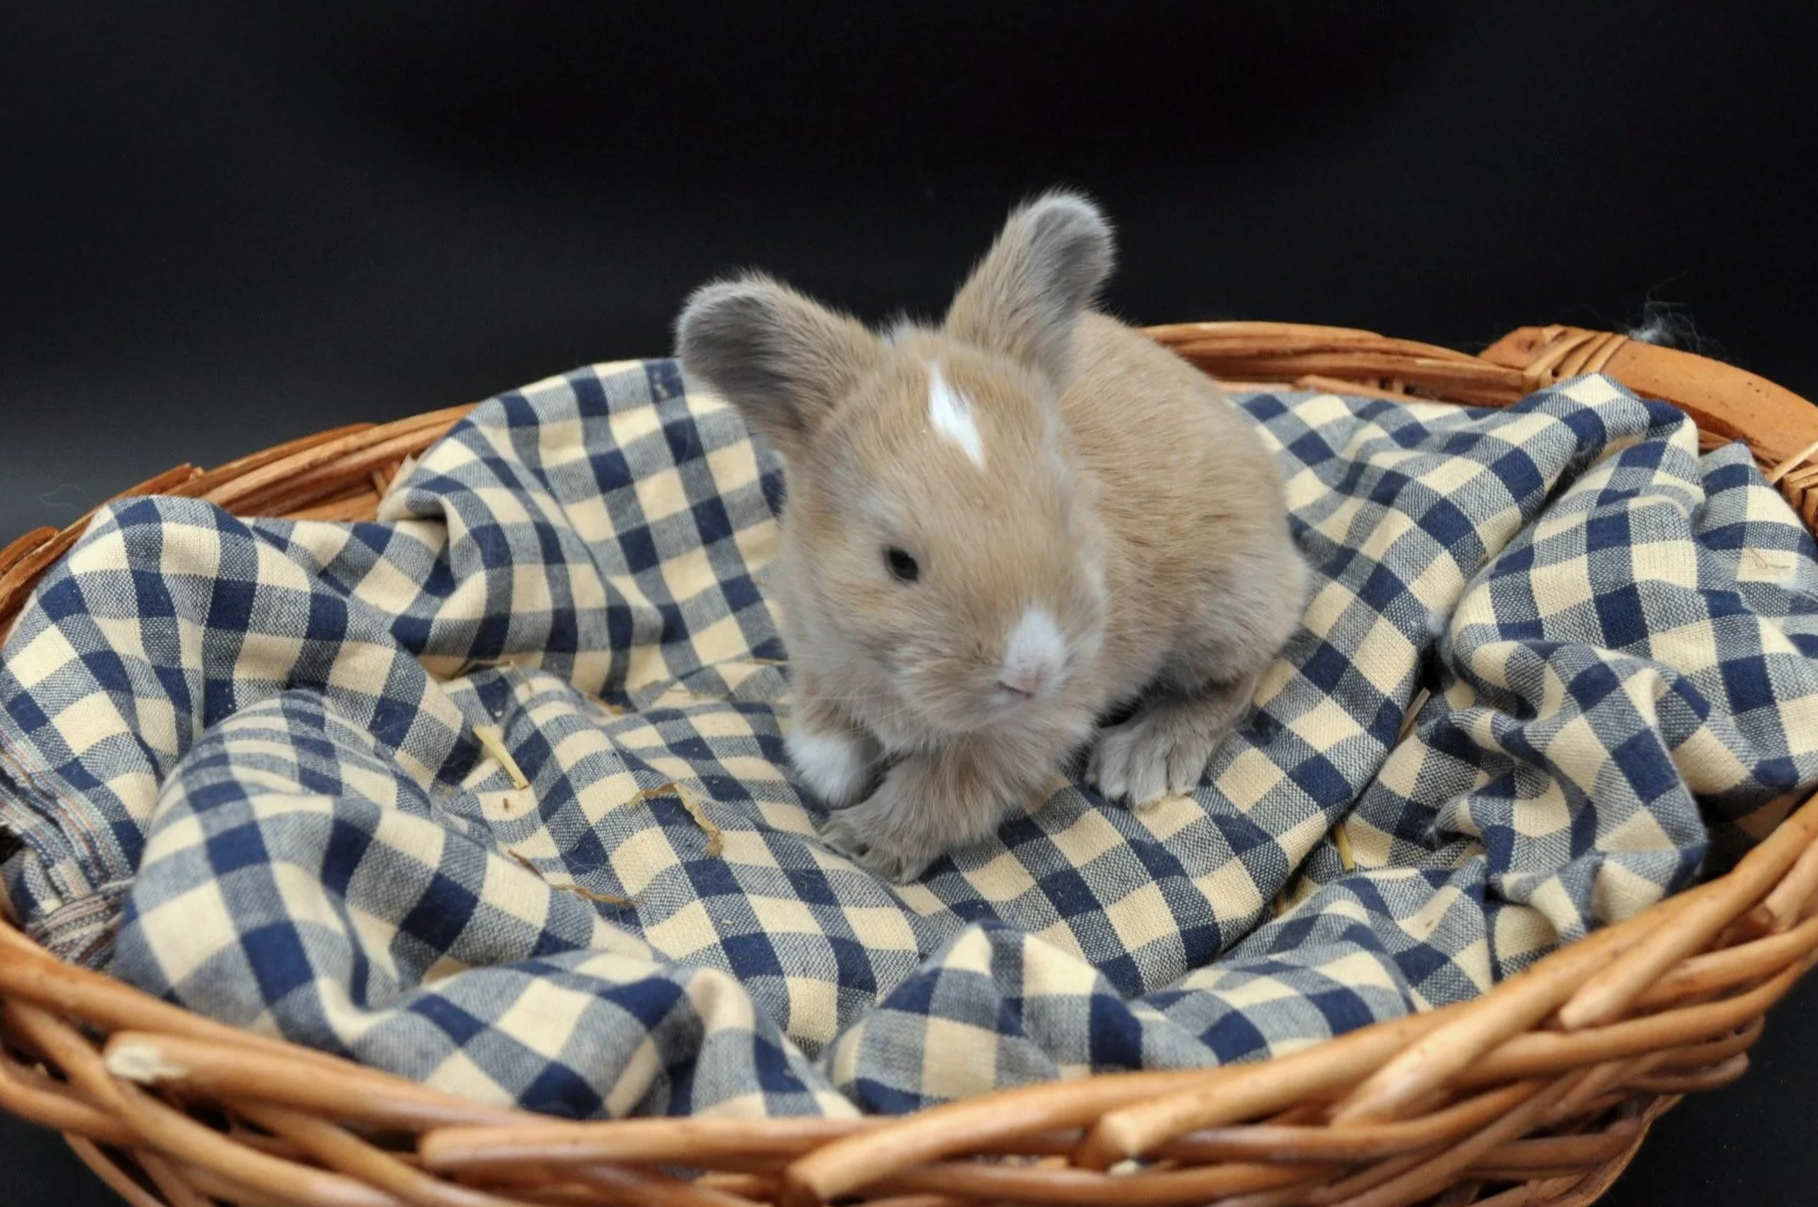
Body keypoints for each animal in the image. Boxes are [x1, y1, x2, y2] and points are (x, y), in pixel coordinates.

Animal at [674, 190, 1306, 882]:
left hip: (1226, 608)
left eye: (1065, 516)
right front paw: (833, 776)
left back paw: (1143, 759)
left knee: (1238, 676)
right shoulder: (814, 642)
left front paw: (862, 841)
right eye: (898, 562)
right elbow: (823, 729)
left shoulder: (1026, 730)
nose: (1032, 672)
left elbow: (946, 788)